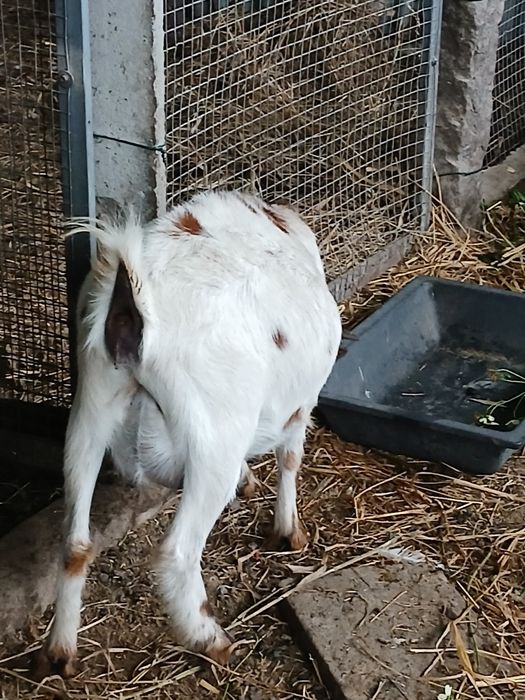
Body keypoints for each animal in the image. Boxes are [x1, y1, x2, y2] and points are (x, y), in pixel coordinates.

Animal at [41, 190, 342, 675]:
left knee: (75, 542)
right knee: (178, 551)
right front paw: (289, 532)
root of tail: (133, 308)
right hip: (211, 439)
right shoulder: (301, 404)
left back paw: (61, 651)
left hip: (90, 410)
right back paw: (212, 640)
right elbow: (290, 459)